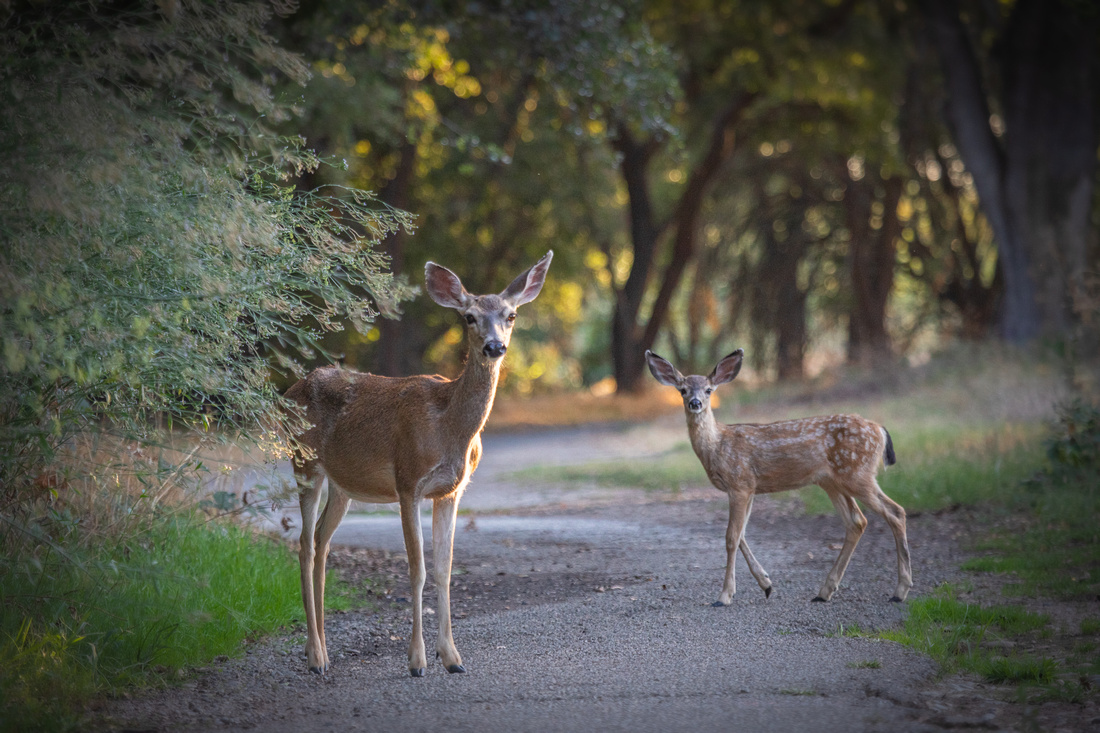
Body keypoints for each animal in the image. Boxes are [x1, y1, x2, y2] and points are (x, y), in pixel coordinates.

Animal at [288, 250, 554, 673]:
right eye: (469, 317)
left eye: (511, 315)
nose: (494, 347)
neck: (449, 428)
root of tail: (290, 390)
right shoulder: (407, 480)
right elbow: (418, 569)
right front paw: (417, 660)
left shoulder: (451, 491)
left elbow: (445, 569)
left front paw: (452, 658)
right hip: (303, 462)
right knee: (304, 545)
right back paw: (314, 656)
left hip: (343, 484)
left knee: (321, 541)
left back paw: (323, 650)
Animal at [642, 347, 910, 603]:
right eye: (683, 390)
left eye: (708, 390)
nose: (695, 403)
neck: (717, 447)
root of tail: (880, 430)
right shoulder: (749, 488)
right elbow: (741, 535)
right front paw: (766, 584)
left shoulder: (739, 483)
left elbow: (731, 537)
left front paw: (724, 595)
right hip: (832, 481)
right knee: (857, 522)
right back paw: (824, 592)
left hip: (857, 474)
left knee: (896, 511)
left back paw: (900, 591)